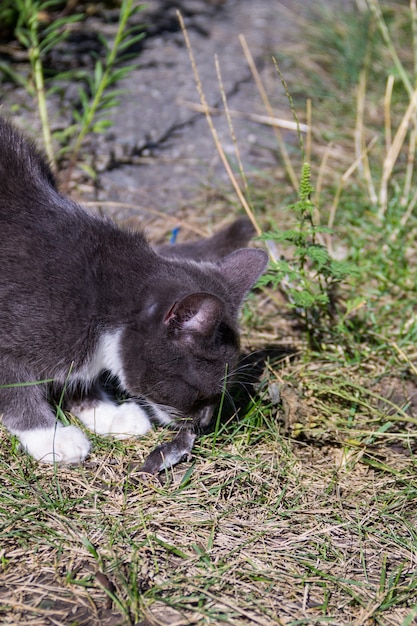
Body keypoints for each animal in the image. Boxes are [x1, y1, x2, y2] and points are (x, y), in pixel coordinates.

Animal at [0, 117, 266, 464]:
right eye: (199, 391)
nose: (205, 421)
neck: (101, 292)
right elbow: (15, 390)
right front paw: (50, 437)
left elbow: (76, 376)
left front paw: (108, 414)